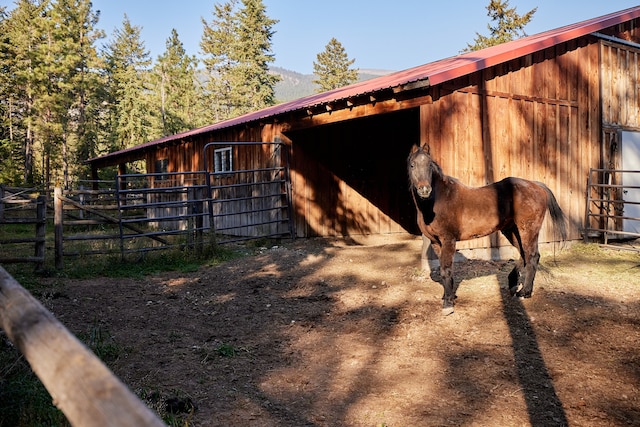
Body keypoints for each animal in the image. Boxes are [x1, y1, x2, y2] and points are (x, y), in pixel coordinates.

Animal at [408, 145, 568, 316]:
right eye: (412, 165)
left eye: (429, 165)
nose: (424, 190)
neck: (438, 201)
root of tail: (536, 185)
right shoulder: (436, 242)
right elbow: (446, 270)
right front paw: (448, 296)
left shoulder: (448, 240)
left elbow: (446, 269)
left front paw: (448, 305)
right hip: (511, 230)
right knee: (524, 254)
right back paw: (513, 283)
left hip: (528, 229)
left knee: (532, 256)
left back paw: (525, 292)